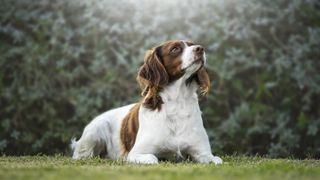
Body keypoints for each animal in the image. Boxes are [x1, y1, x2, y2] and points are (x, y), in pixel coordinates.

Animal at [71, 39, 222, 165]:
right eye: (175, 49)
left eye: (192, 44)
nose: (200, 48)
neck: (177, 101)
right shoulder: (136, 153)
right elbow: (153, 158)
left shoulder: (204, 153)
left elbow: (216, 160)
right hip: (95, 130)